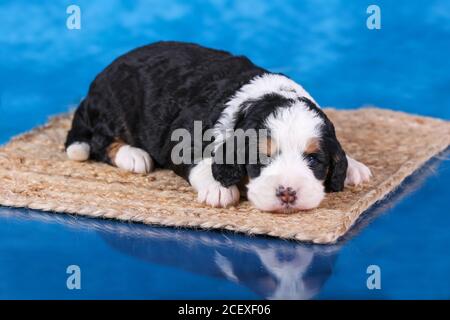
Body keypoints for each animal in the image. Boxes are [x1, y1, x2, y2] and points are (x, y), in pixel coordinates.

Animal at [65, 42, 370, 212]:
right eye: (261, 158)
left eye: (314, 159)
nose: (287, 193)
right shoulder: (179, 135)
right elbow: (201, 161)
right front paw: (219, 188)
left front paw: (352, 166)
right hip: (116, 105)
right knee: (99, 140)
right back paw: (133, 155)